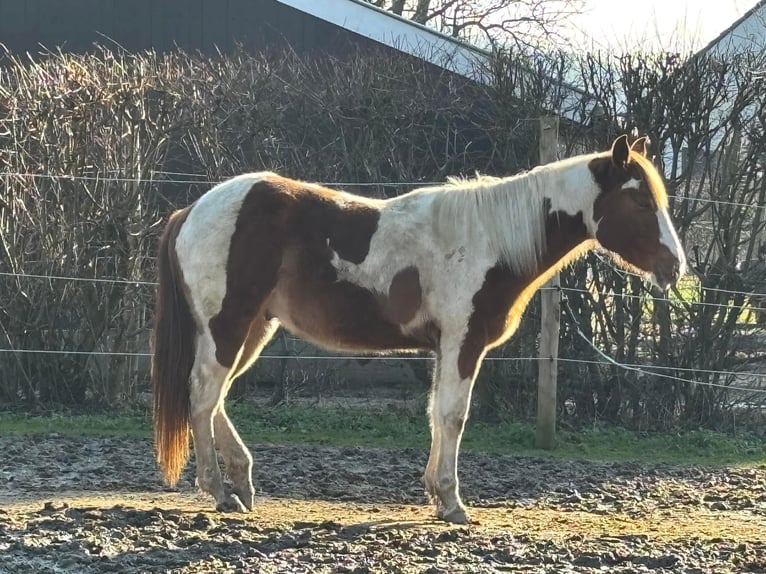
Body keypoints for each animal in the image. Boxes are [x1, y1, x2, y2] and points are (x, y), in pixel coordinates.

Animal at [152, 136, 688, 528]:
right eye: (641, 202)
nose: (676, 268)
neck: (490, 240)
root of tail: (191, 210)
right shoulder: (462, 344)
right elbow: (453, 417)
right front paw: (452, 504)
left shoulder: (443, 349)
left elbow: (435, 416)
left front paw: (436, 494)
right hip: (229, 326)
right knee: (203, 395)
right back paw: (220, 492)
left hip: (252, 329)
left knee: (214, 398)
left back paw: (241, 484)